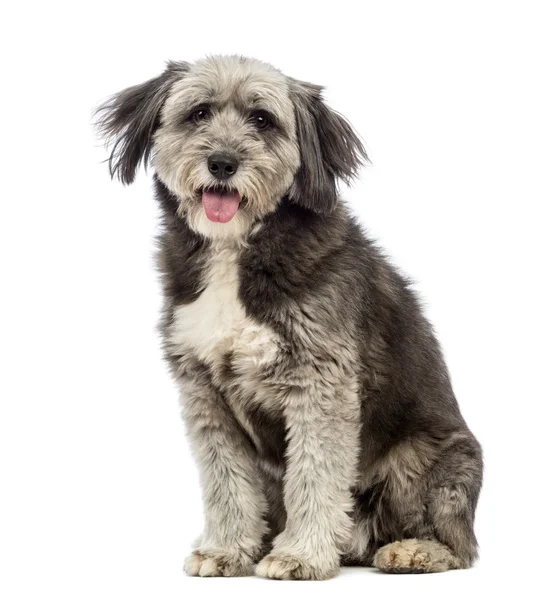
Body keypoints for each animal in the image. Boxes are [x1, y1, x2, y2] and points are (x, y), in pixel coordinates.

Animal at [97, 54, 484, 580]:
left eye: (263, 119)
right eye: (198, 113)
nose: (223, 163)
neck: (237, 250)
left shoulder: (320, 381)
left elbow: (315, 474)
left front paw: (301, 554)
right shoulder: (204, 392)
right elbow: (225, 480)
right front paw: (227, 548)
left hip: (424, 460)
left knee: (460, 545)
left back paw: (415, 551)